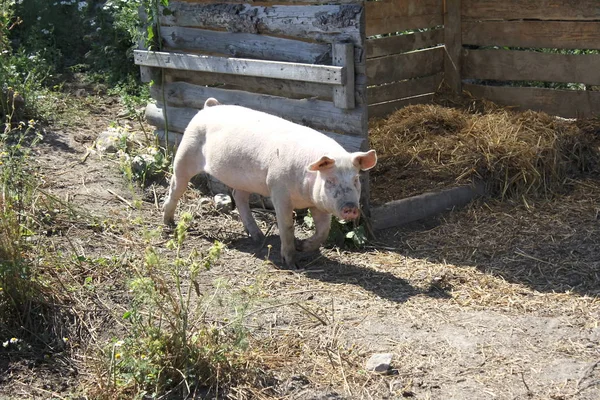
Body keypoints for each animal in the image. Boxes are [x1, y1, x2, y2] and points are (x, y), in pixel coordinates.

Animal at [162, 98, 378, 268]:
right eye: (330, 180)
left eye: (356, 180)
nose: (351, 207)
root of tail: (209, 107)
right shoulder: (278, 190)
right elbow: (287, 226)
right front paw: (292, 264)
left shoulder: (319, 203)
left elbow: (323, 231)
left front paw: (302, 246)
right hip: (186, 153)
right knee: (176, 187)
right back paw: (169, 223)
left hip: (241, 180)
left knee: (239, 197)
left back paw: (257, 236)